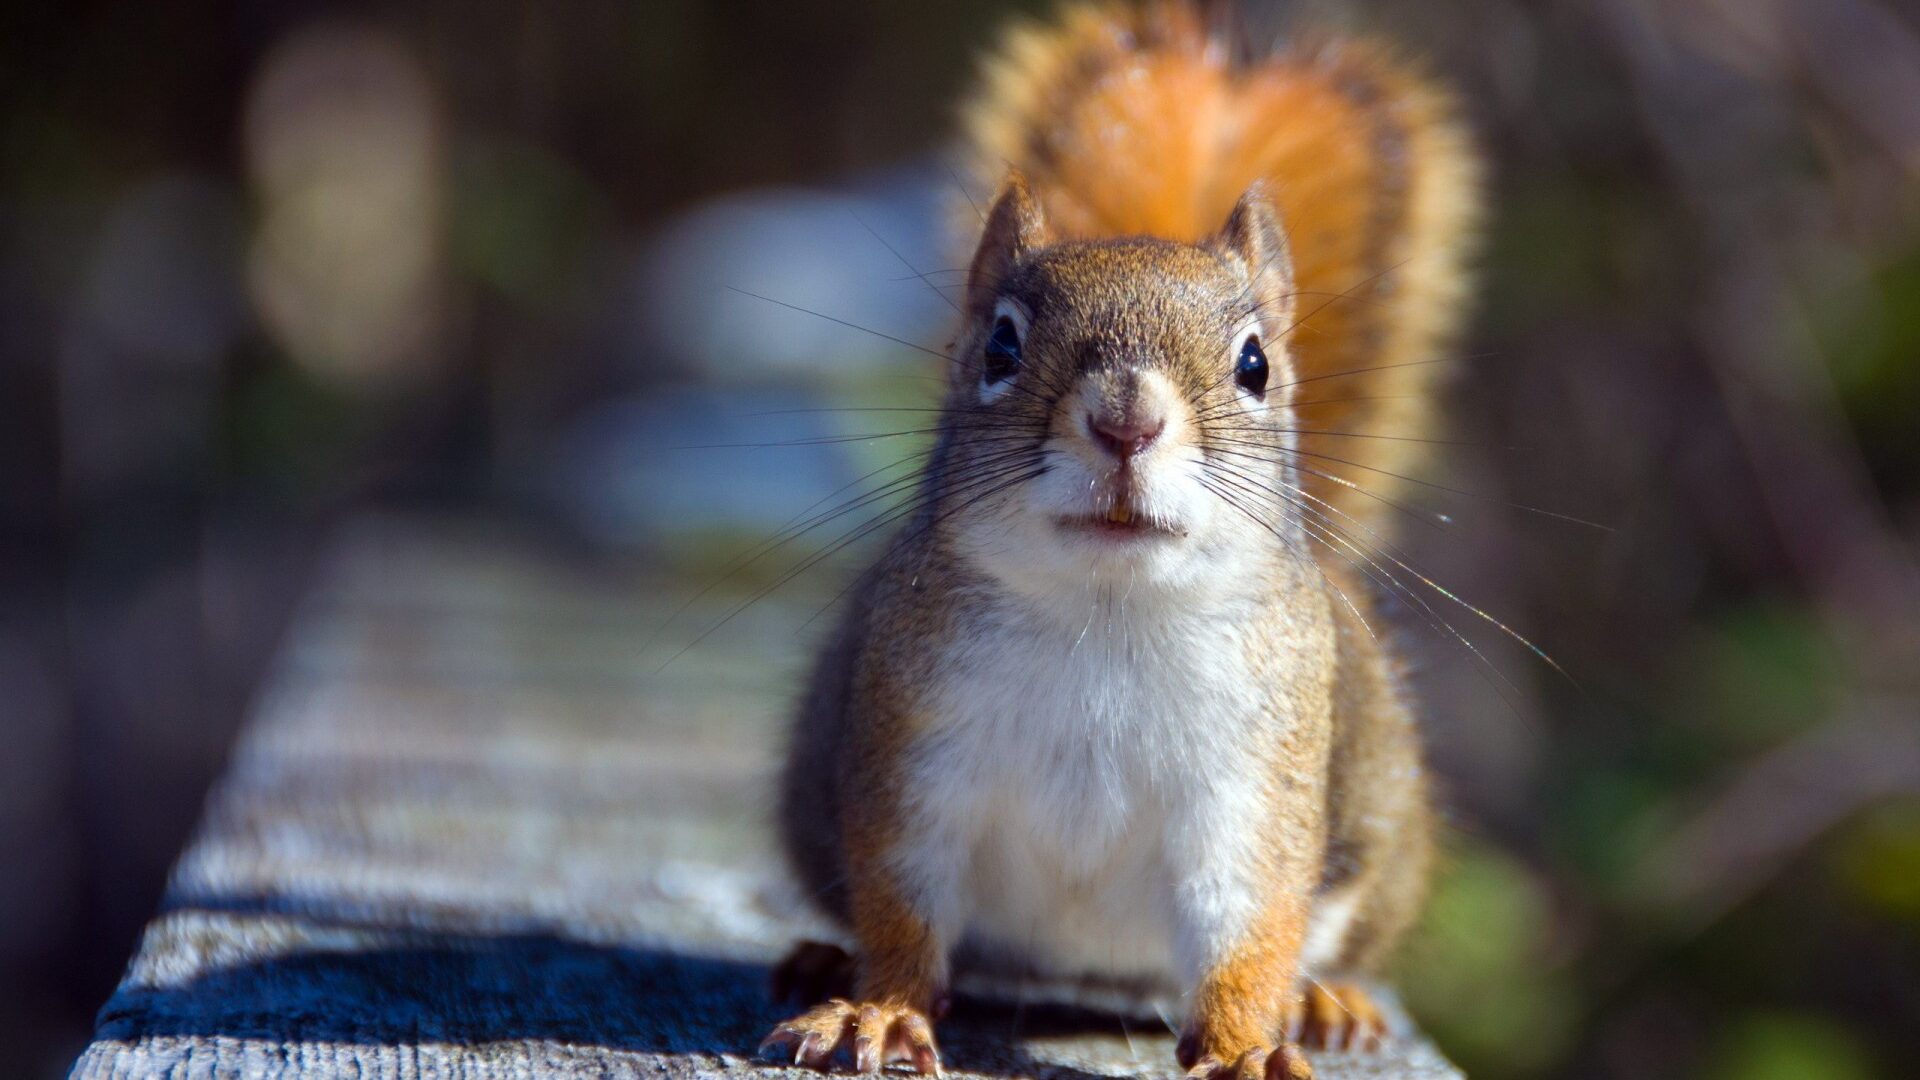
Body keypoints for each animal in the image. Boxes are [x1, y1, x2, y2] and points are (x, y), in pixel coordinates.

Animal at [756, 4, 1474, 1068]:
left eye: (1255, 363)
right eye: (1000, 344)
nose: (1127, 420)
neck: (1111, 609)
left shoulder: (1253, 792)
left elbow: (1251, 926)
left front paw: (1245, 1044)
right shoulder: (914, 756)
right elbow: (901, 907)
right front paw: (876, 1008)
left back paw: (1322, 1002)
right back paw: (822, 960)